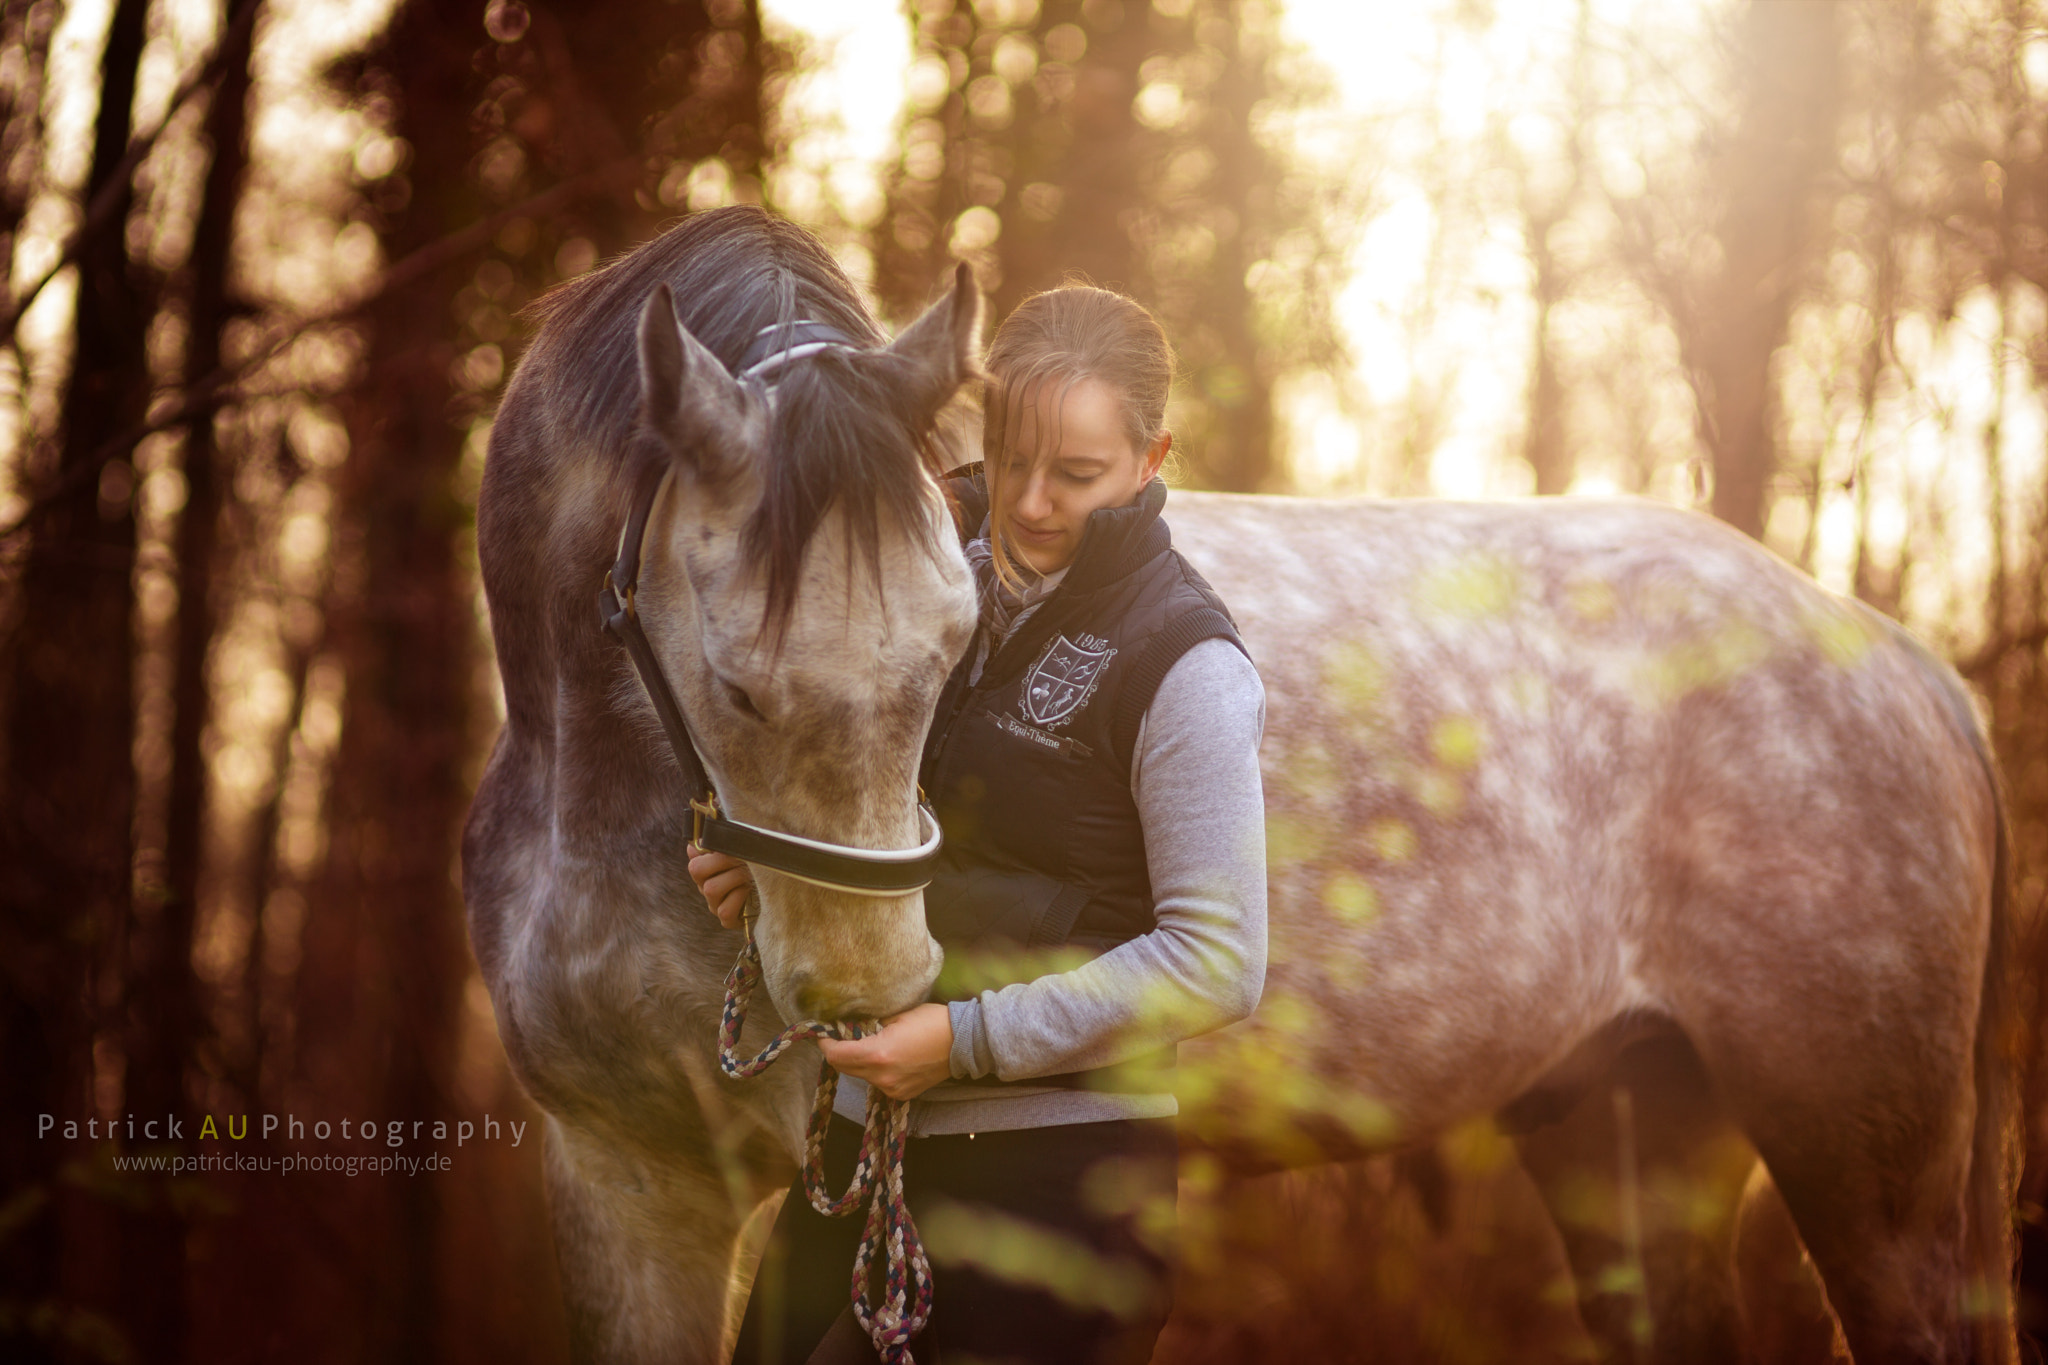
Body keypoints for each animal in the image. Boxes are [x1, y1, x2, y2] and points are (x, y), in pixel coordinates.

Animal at [468, 205, 2015, 1365]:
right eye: (736, 686)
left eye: (951, 649)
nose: (870, 997)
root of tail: (1896, 658)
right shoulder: (623, 1179)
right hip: (1630, 1128)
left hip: (1869, 1170)